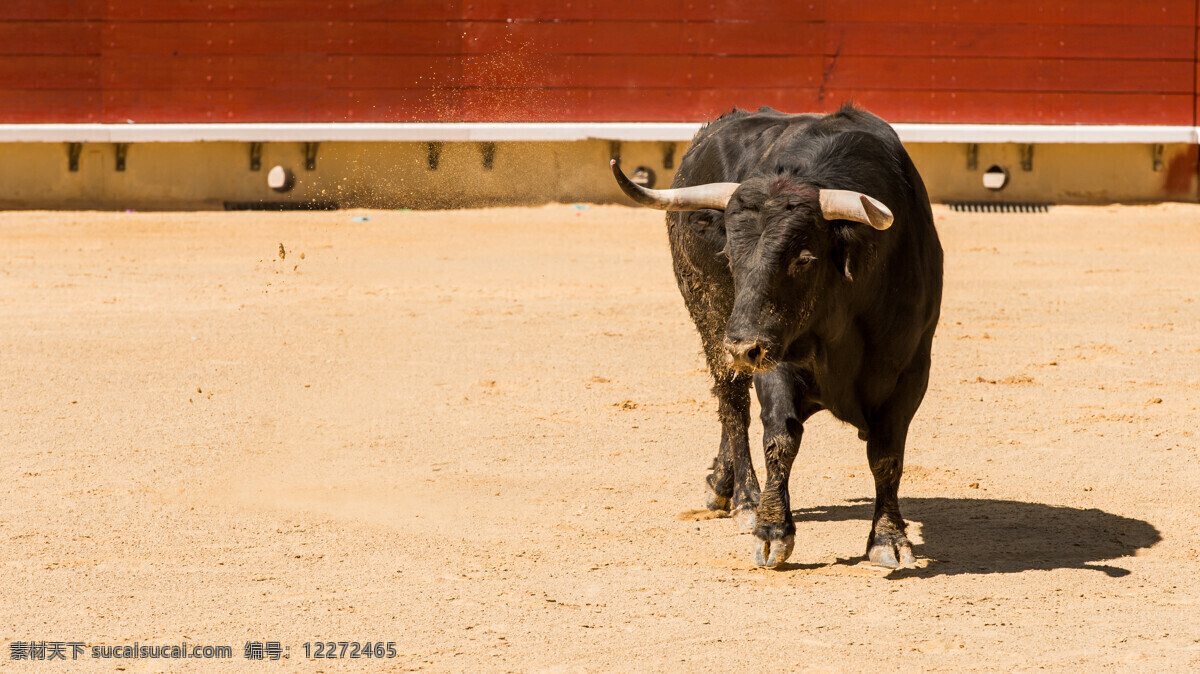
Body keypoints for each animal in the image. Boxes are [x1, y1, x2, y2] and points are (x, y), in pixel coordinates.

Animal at [614, 104, 940, 566]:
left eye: (804, 259)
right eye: (729, 254)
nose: (741, 346)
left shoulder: (911, 370)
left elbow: (886, 454)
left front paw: (889, 538)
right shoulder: (774, 357)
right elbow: (779, 438)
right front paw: (771, 529)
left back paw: (721, 483)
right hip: (712, 321)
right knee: (733, 406)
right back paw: (745, 499)